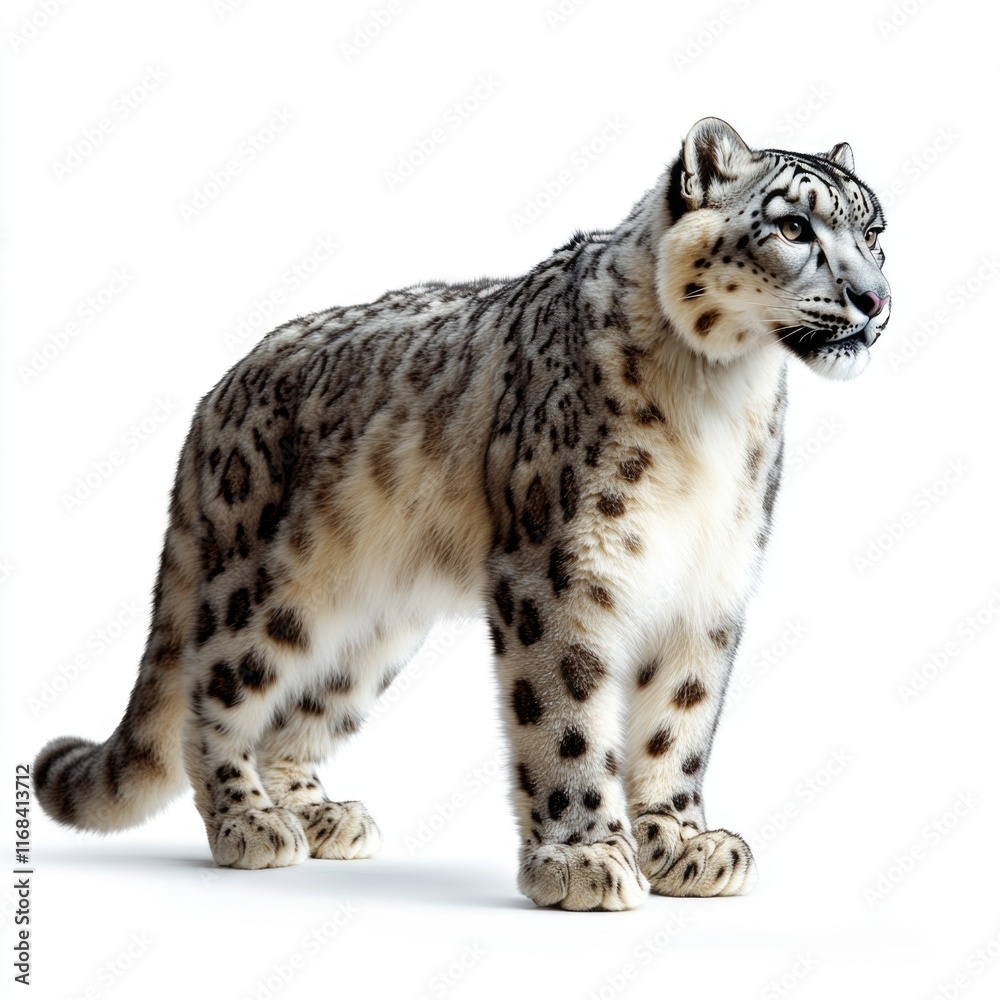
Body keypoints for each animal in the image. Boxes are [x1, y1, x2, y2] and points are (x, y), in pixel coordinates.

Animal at [33, 117, 890, 910]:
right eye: (793, 227)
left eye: (875, 232)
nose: (876, 299)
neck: (719, 394)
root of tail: (214, 397)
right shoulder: (558, 568)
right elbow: (566, 717)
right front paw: (583, 858)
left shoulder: (709, 581)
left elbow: (678, 721)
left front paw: (680, 842)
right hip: (263, 591)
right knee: (214, 699)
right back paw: (251, 822)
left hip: (369, 635)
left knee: (297, 716)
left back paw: (319, 816)